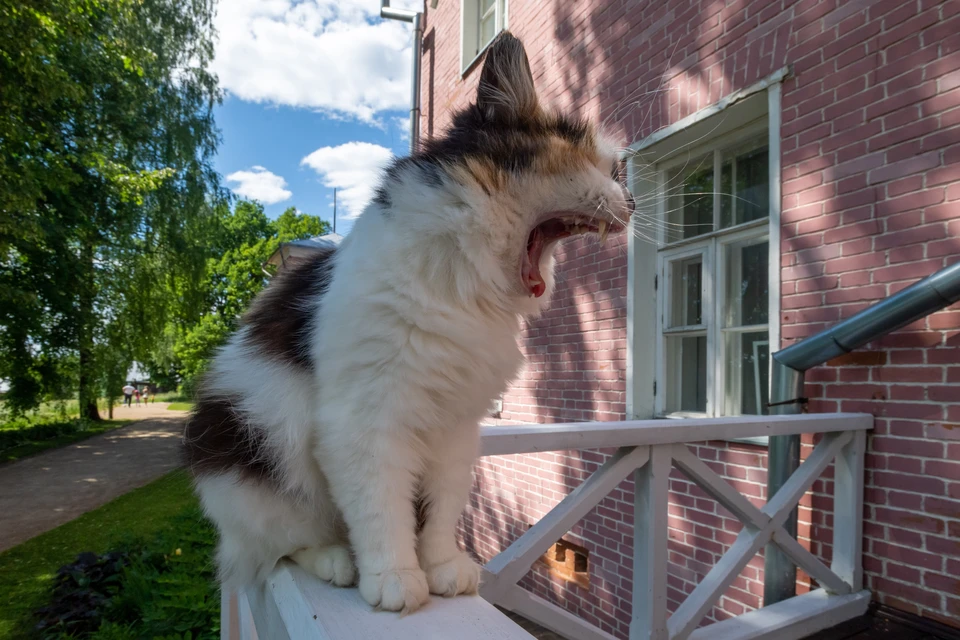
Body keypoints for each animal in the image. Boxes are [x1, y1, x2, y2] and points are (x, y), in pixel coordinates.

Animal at [186, 31, 636, 616]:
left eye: (618, 171)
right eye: (602, 169)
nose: (633, 200)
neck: (465, 284)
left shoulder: (456, 430)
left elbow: (440, 511)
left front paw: (442, 567)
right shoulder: (366, 422)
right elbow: (383, 511)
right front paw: (395, 578)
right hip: (255, 471)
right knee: (285, 545)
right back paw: (338, 561)